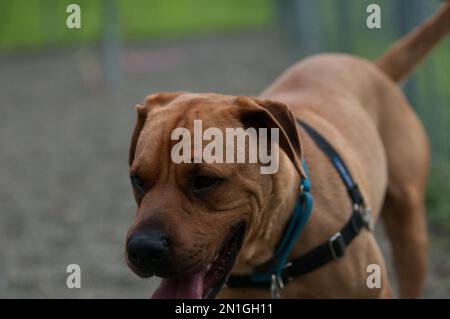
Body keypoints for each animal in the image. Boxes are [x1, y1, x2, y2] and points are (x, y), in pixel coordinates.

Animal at [124, 1, 450, 300]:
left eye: (205, 180)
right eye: (137, 180)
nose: (143, 249)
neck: (271, 259)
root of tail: (374, 68)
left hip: (410, 234)